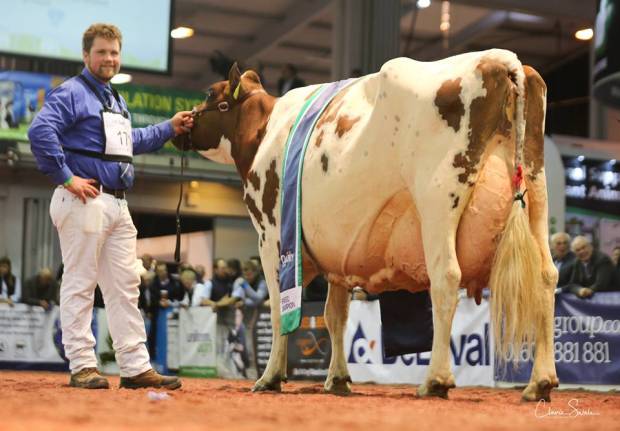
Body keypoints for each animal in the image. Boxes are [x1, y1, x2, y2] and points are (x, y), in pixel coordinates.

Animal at [173, 49, 556, 404]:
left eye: (210, 94)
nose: (181, 124)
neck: (264, 130)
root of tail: (500, 59)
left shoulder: (270, 236)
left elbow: (279, 308)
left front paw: (269, 378)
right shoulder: (336, 252)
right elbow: (335, 316)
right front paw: (337, 379)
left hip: (438, 198)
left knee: (446, 277)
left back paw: (435, 380)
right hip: (536, 191)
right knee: (546, 276)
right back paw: (540, 382)